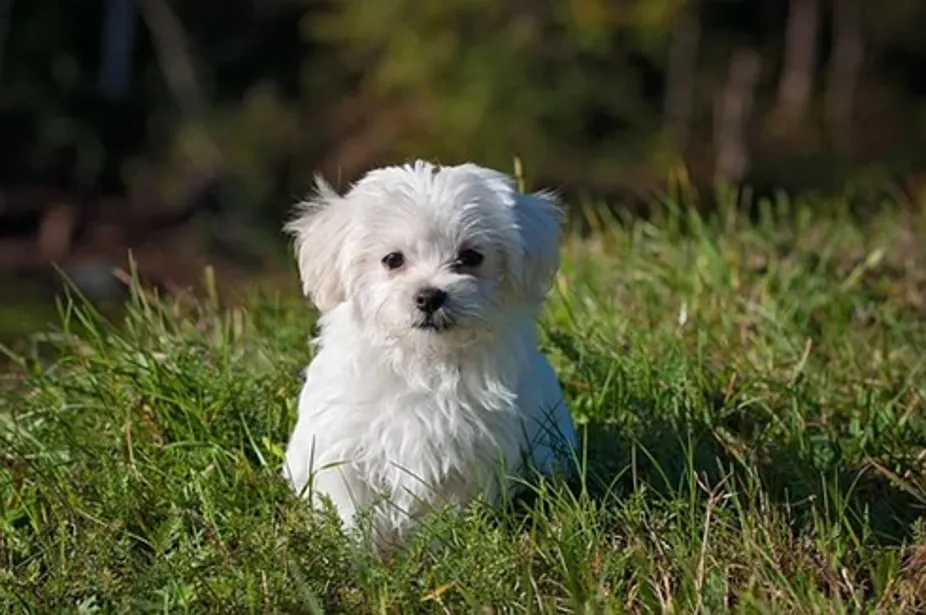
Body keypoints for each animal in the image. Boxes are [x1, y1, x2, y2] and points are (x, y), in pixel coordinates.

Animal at [282, 159, 576, 552]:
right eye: (392, 260)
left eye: (470, 257)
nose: (429, 296)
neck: (423, 360)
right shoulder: (344, 449)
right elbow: (352, 508)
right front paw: (360, 554)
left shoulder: (472, 455)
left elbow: (449, 510)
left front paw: (441, 548)